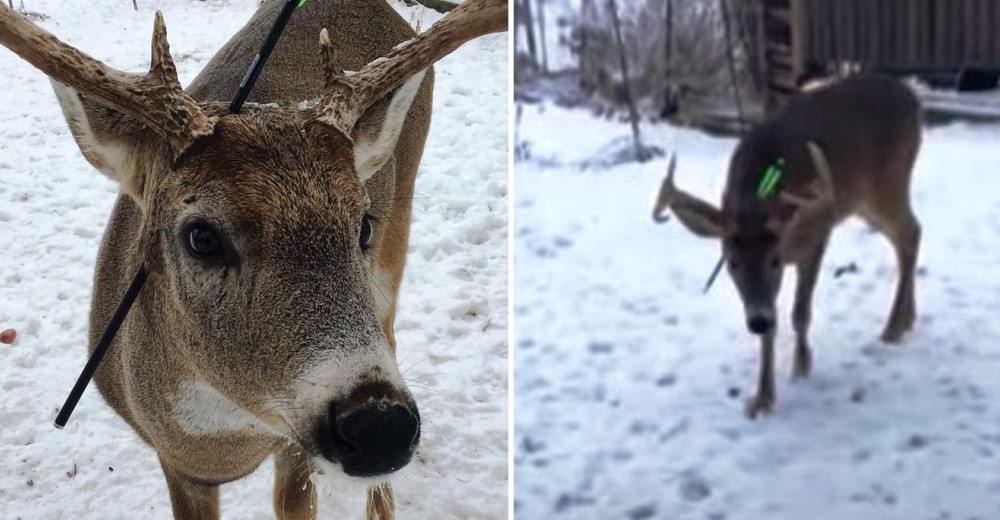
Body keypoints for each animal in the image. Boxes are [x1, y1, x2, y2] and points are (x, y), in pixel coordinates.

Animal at [0, 2, 508, 516]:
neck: (229, 441)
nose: (380, 425)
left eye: (363, 225)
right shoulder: (179, 465)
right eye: (201, 237)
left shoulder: (293, 449)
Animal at [648, 74, 920, 418]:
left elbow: (800, 313)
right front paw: (763, 398)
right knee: (907, 237)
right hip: (866, 202)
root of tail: (913, 97)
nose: (757, 321)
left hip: (889, 183)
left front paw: (801, 366)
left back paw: (893, 327)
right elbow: (773, 327)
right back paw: (906, 320)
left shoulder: (818, 233)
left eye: (775, 260)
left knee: (911, 234)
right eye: (732, 263)